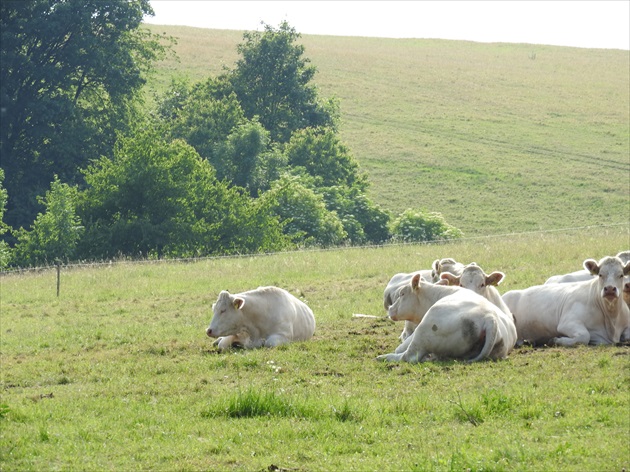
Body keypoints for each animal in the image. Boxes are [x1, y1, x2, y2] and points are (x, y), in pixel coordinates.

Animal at [380, 274, 520, 364]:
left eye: (402, 294)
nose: (390, 308)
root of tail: (490, 318)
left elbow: (401, 346)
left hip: (424, 332)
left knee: (409, 356)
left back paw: (384, 357)